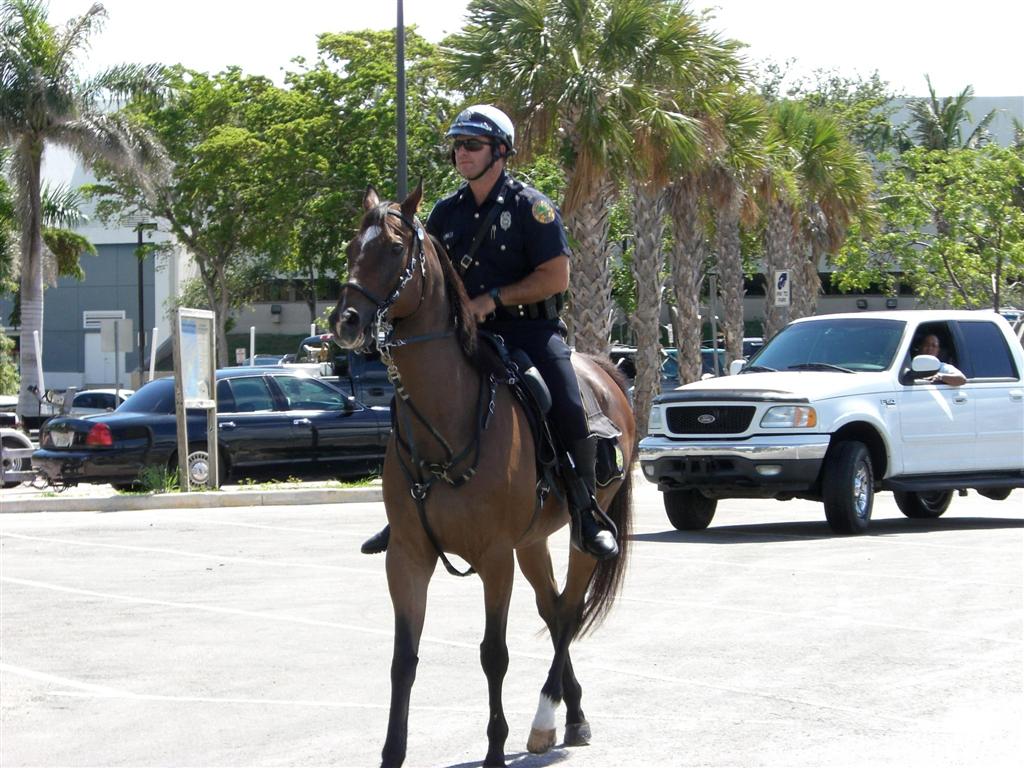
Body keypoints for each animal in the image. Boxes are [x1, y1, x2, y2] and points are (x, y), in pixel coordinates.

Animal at [329, 185, 630, 768]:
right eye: (353, 245)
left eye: (395, 248)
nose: (347, 322)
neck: (447, 417)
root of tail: (607, 371)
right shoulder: (408, 556)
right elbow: (403, 659)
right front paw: (392, 754)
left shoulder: (494, 558)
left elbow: (494, 654)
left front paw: (495, 748)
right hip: (532, 541)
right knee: (554, 610)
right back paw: (571, 714)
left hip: (581, 532)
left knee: (569, 610)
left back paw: (544, 717)